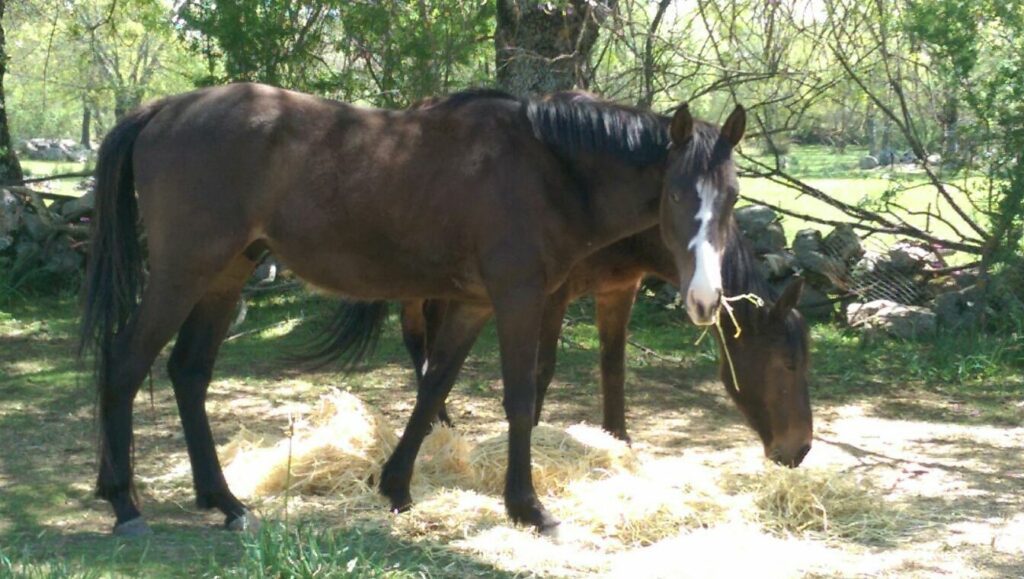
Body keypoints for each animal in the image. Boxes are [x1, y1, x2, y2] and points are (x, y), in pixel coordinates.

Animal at [77, 83, 745, 536]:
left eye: (733, 196)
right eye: (676, 194)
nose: (706, 299)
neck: (545, 168)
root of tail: (166, 109)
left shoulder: (473, 305)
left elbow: (432, 391)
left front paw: (394, 486)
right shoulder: (520, 300)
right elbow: (519, 400)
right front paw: (527, 507)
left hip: (224, 275)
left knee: (188, 372)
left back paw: (226, 502)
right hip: (182, 273)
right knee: (125, 363)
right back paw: (125, 503)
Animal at [403, 223, 811, 463]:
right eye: (788, 364)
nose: (802, 449)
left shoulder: (619, 289)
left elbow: (614, 366)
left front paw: (618, 438)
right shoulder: (550, 295)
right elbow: (541, 370)